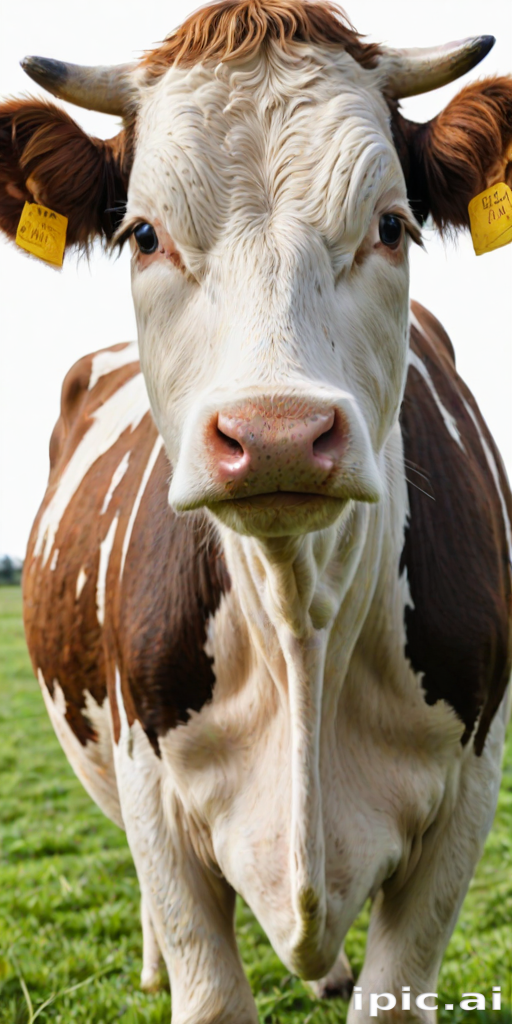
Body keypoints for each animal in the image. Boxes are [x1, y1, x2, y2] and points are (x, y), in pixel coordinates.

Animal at [1, 1, 511, 1020]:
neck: (298, 615)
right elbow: (205, 980)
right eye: (143, 235)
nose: (276, 434)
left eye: (391, 225)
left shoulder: (469, 800)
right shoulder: (152, 795)